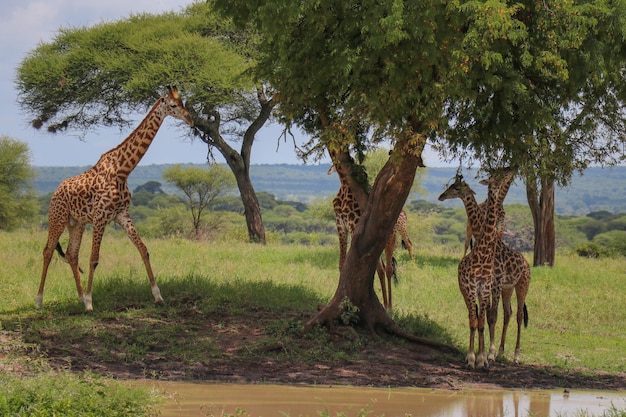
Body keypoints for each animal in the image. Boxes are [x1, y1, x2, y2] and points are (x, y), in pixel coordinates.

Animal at [36, 85, 193, 312]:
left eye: (183, 103)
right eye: (173, 105)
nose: (191, 120)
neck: (122, 170)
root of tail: (55, 192)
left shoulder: (122, 215)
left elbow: (143, 250)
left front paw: (158, 296)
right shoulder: (100, 217)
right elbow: (94, 259)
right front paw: (90, 304)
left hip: (77, 223)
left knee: (72, 254)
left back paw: (79, 297)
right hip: (57, 218)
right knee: (48, 251)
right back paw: (40, 300)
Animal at [436, 169, 528, 364]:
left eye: (456, 187)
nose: (441, 196)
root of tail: (526, 262)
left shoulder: (493, 284)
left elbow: (490, 317)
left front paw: (486, 354)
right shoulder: (488, 286)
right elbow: (484, 318)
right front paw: (482, 354)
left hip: (521, 285)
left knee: (517, 315)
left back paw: (515, 355)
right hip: (507, 288)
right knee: (507, 312)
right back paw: (500, 352)